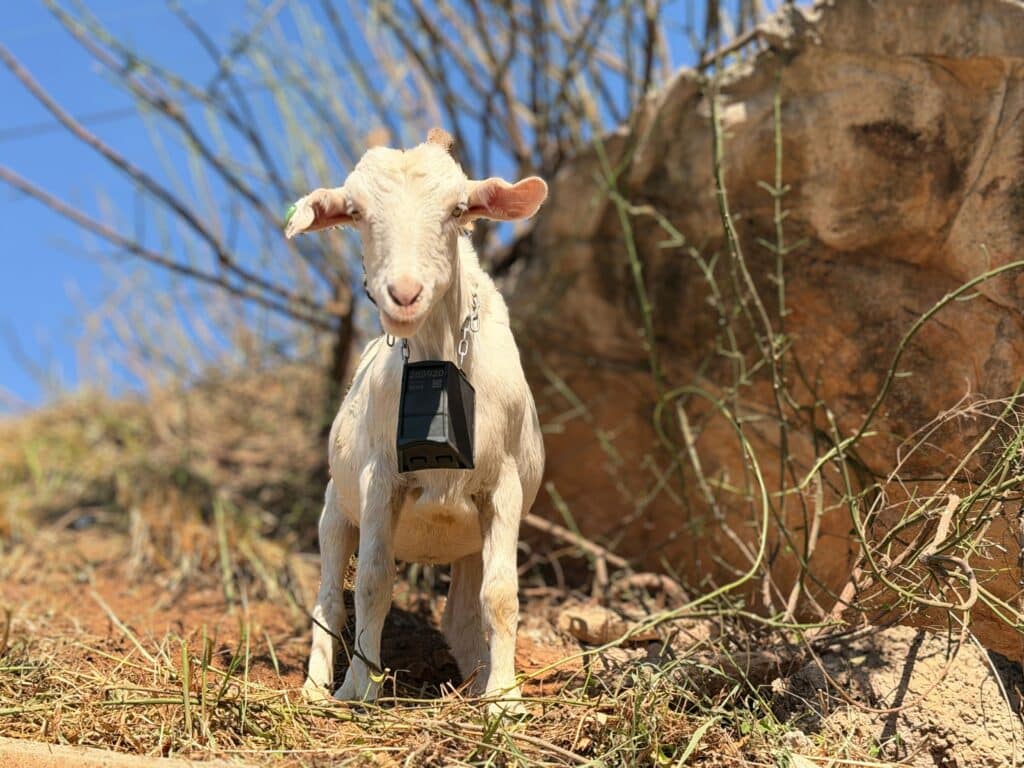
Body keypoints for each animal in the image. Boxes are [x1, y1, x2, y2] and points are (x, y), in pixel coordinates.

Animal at [285, 129, 547, 709]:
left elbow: (500, 594)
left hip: (468, 540)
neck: (440, 356)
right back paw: (315, 689)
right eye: (355, 212)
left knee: (462, 614)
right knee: (328, 598)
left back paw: (476, 679)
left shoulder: (504, 484)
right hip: (334, 510)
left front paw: (504, 699)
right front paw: (359, 689)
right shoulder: (379, 477)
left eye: (458, 209)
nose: (404, 295)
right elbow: (373, 582)